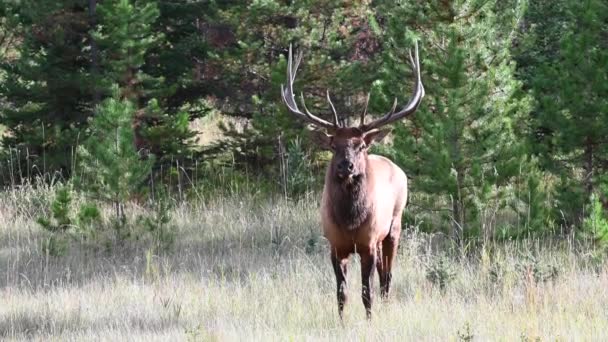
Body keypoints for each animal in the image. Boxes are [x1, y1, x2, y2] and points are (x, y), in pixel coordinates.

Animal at [280, 42, 422, 318]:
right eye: (333, 145)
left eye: (360, 146)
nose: (346, 166)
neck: (350, 220)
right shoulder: (335, 245)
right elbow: (341, 294)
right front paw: (342, 321)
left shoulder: (368, 243)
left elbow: (367, 292)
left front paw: (370, 320)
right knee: (383, 273)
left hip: (394, 225)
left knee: (388, 275)